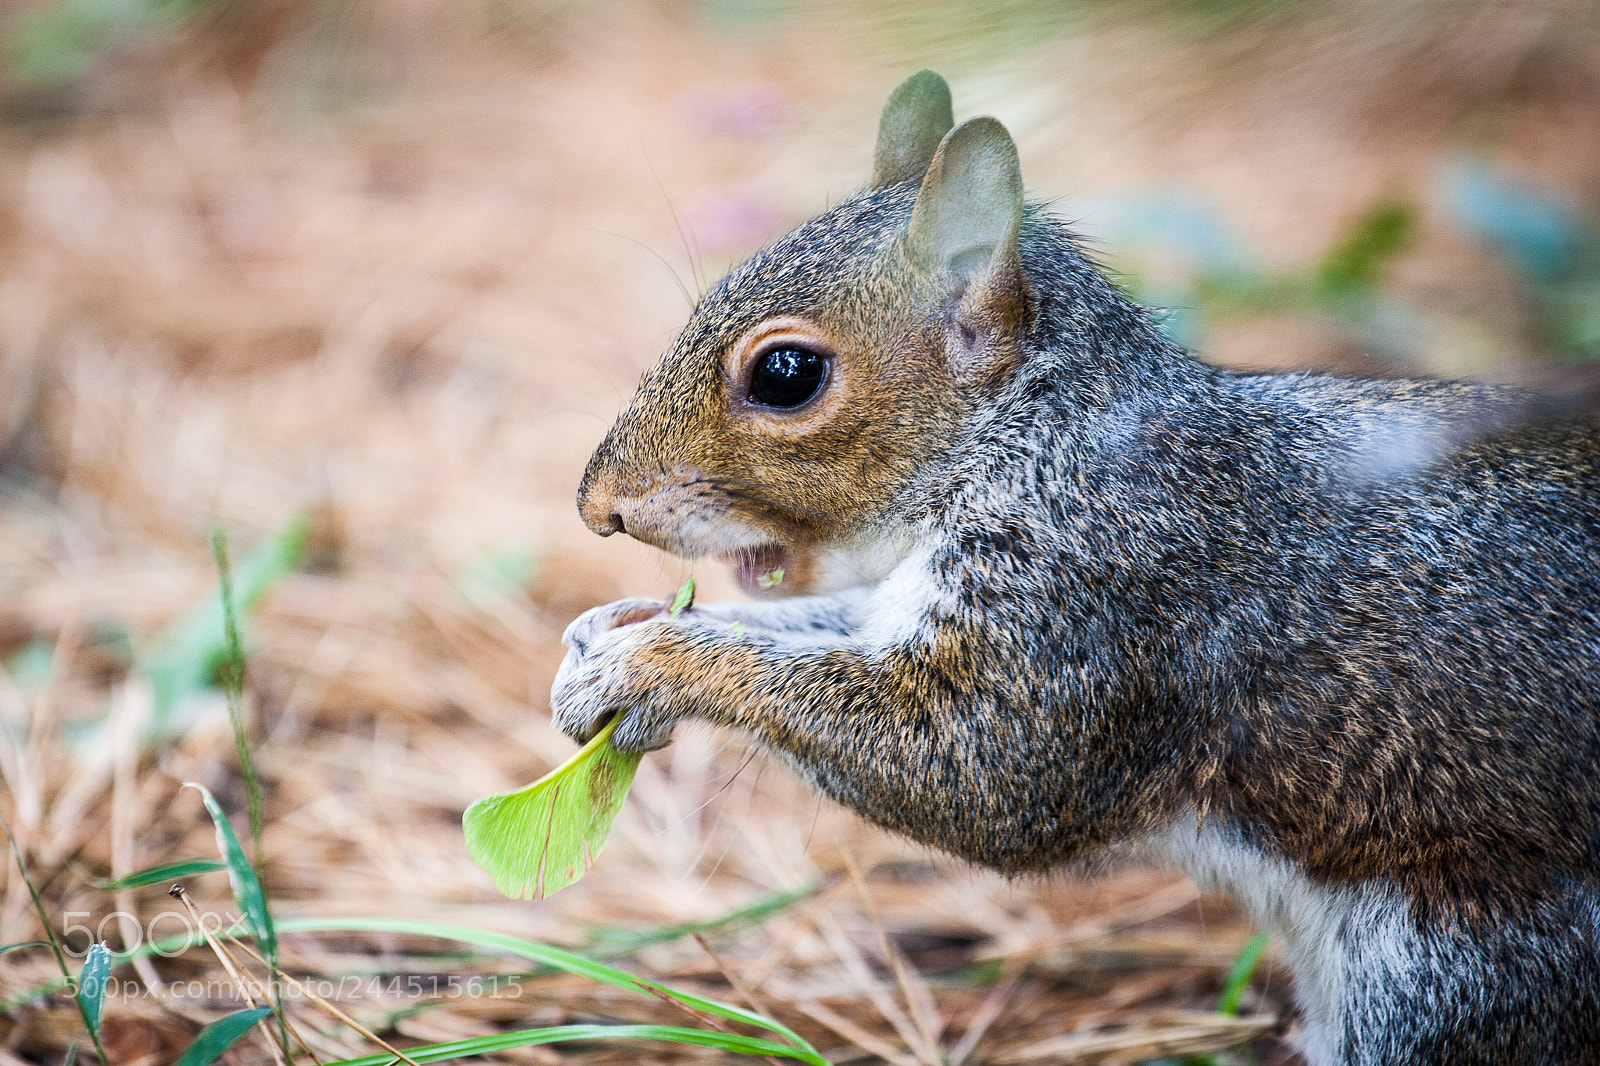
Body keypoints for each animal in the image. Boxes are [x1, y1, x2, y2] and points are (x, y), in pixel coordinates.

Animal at [550, 70, 1600, 1065]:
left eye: (785, 375)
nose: (600, 507)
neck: (1030, 433)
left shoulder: (1097, 594)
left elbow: (983, 769)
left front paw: (656, 663)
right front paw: (616, 632)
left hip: (1454, 975)